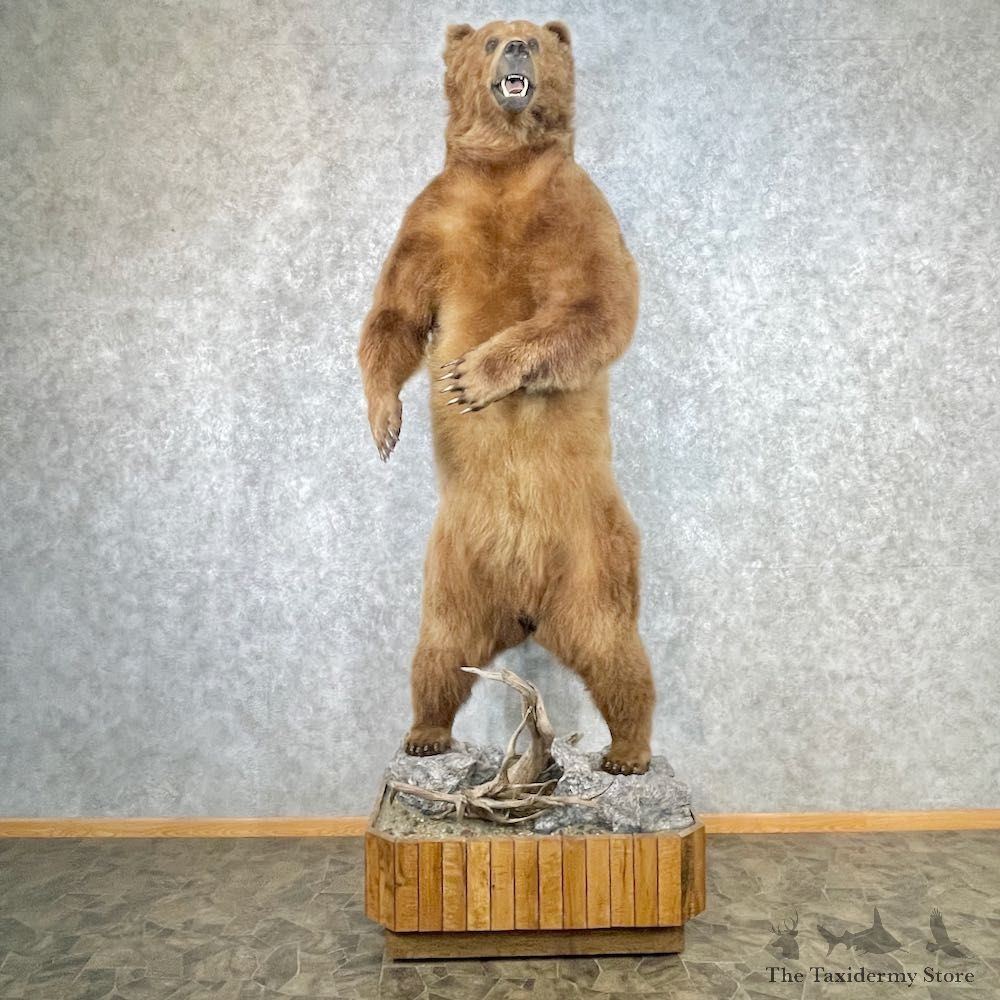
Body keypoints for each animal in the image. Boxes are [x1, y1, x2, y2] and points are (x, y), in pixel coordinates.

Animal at [358, 20, 655, 774]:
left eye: (535, 41)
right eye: (492, 41)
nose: (519, 45)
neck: (504, 166)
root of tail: (524, 612)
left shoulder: (577, 208)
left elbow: (596, 304)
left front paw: (472, 376)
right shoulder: (432, 216)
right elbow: (395, 313)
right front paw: (385, 422)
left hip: (594, 560)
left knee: (617, 651)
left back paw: (629, 751)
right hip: (451, 576)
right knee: (436, 656)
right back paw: (424, 733)